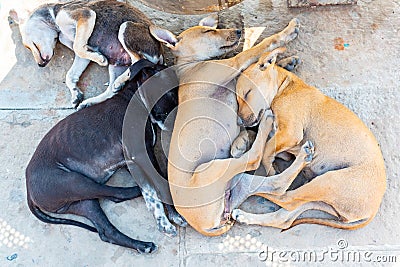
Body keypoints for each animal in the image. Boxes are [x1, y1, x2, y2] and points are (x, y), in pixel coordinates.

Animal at [10, 0, 164, 109]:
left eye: (29, 45)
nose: (40, 65)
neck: (54, 15)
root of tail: (160, 53)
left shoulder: (85, 15)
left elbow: (78, 47)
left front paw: (100, 59)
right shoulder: (82, 51)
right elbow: (71, 73)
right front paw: (75, 94)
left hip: (125, 29)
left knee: (139, 60)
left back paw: (120, 80)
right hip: (116, 64)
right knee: (112, 89)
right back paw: (91, 100)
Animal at [25, 58, 185, 253]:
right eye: (170, 92)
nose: (175, 124)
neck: (135, 100)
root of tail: (28, 190)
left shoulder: (133, 161)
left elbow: (150, 191)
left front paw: (162, 220)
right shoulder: (141, 155)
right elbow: (159, 185)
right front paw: (172, 218)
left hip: (81, 202)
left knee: (106, 230)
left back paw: (141, 245)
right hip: (73, 182)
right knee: (115, 193)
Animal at [150, 15, 300, 236]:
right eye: (207, 32)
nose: (238, 32)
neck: (190, 67)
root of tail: (204, 227)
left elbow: (259, 64)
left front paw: (286, 61)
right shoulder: (233, 64)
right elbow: (258, 48)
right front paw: (286, 34)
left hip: (238, 182)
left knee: (276, 184)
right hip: (214, 168)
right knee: (254, 158)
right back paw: (263, 125)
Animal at [231, 49, 388, 231]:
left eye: (247, 94)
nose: (239, 122)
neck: (284, 88)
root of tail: (373, 210)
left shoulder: (290, 133)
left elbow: (266, 149)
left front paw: (270, 167)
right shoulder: (284, 142)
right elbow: (261, 138)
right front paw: (240, 142)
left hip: (328, 180)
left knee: (283, 194)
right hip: (320, 199)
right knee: (285, 215)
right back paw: (244, 215)